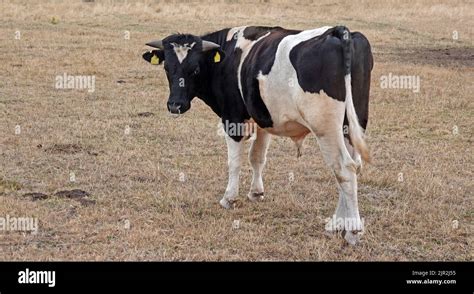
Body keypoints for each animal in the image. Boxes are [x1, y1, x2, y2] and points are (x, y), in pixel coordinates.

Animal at [143, 25, 372, 245]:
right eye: (166, 68)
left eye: (195, 69)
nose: (175, 105)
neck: (228, 56)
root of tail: (339, 31)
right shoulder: (263, 121)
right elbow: (257, 158)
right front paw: (256, 192)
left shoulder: (233, 120)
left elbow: (235, 162)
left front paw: (229, 198)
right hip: (350, 126)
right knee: (353, 167)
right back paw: (336, 223)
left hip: (327, 130)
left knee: (344, 170)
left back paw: (352, 232)